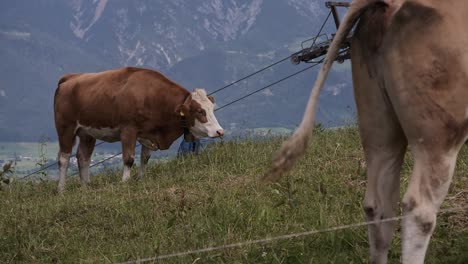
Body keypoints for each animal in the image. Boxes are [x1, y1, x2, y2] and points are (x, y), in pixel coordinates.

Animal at [54, 67, 224, 193]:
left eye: (212, 108)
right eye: (200, 111)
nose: (220, 131)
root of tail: (70, 78)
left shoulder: (149, 133)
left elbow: (145, 158)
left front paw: (141, 179)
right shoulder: (128, 130)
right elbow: (129, 158)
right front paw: (125, 182)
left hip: (88, 133)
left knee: (83, 157)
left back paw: (86, 187)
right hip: (65, 128)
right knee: (64, 158)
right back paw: (61, 189)